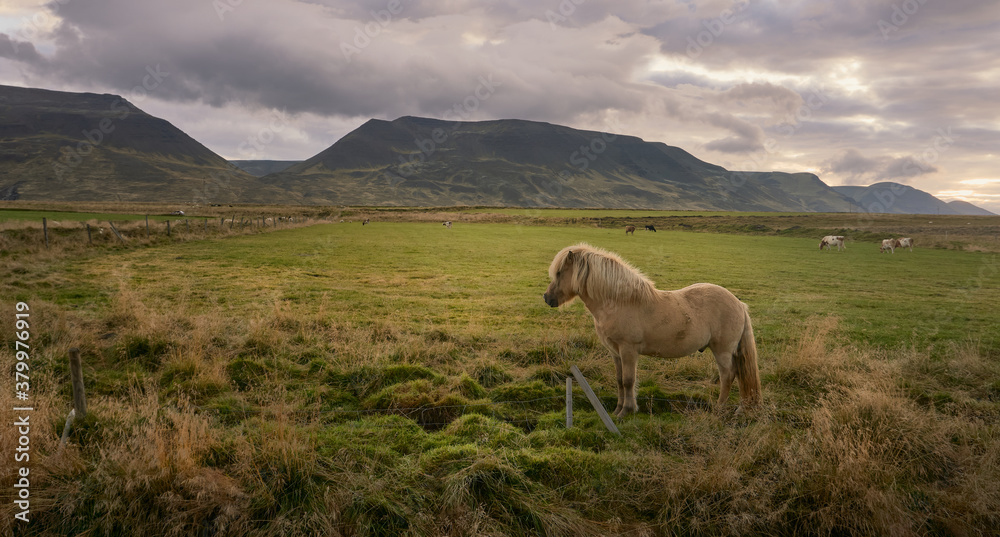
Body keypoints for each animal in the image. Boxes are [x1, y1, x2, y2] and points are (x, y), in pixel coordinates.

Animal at [543, 243, 761, 416]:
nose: (547, 298)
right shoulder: (616, 352)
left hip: (722, 351)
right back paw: (740, 408)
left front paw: (626, 411)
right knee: (738, 375)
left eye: (560, 273)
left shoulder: (628, 350)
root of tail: (739, 304)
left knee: (728, 376)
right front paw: (617, 410)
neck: (619, 302)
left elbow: (629, 381)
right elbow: (620, 380)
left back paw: (719, 408)